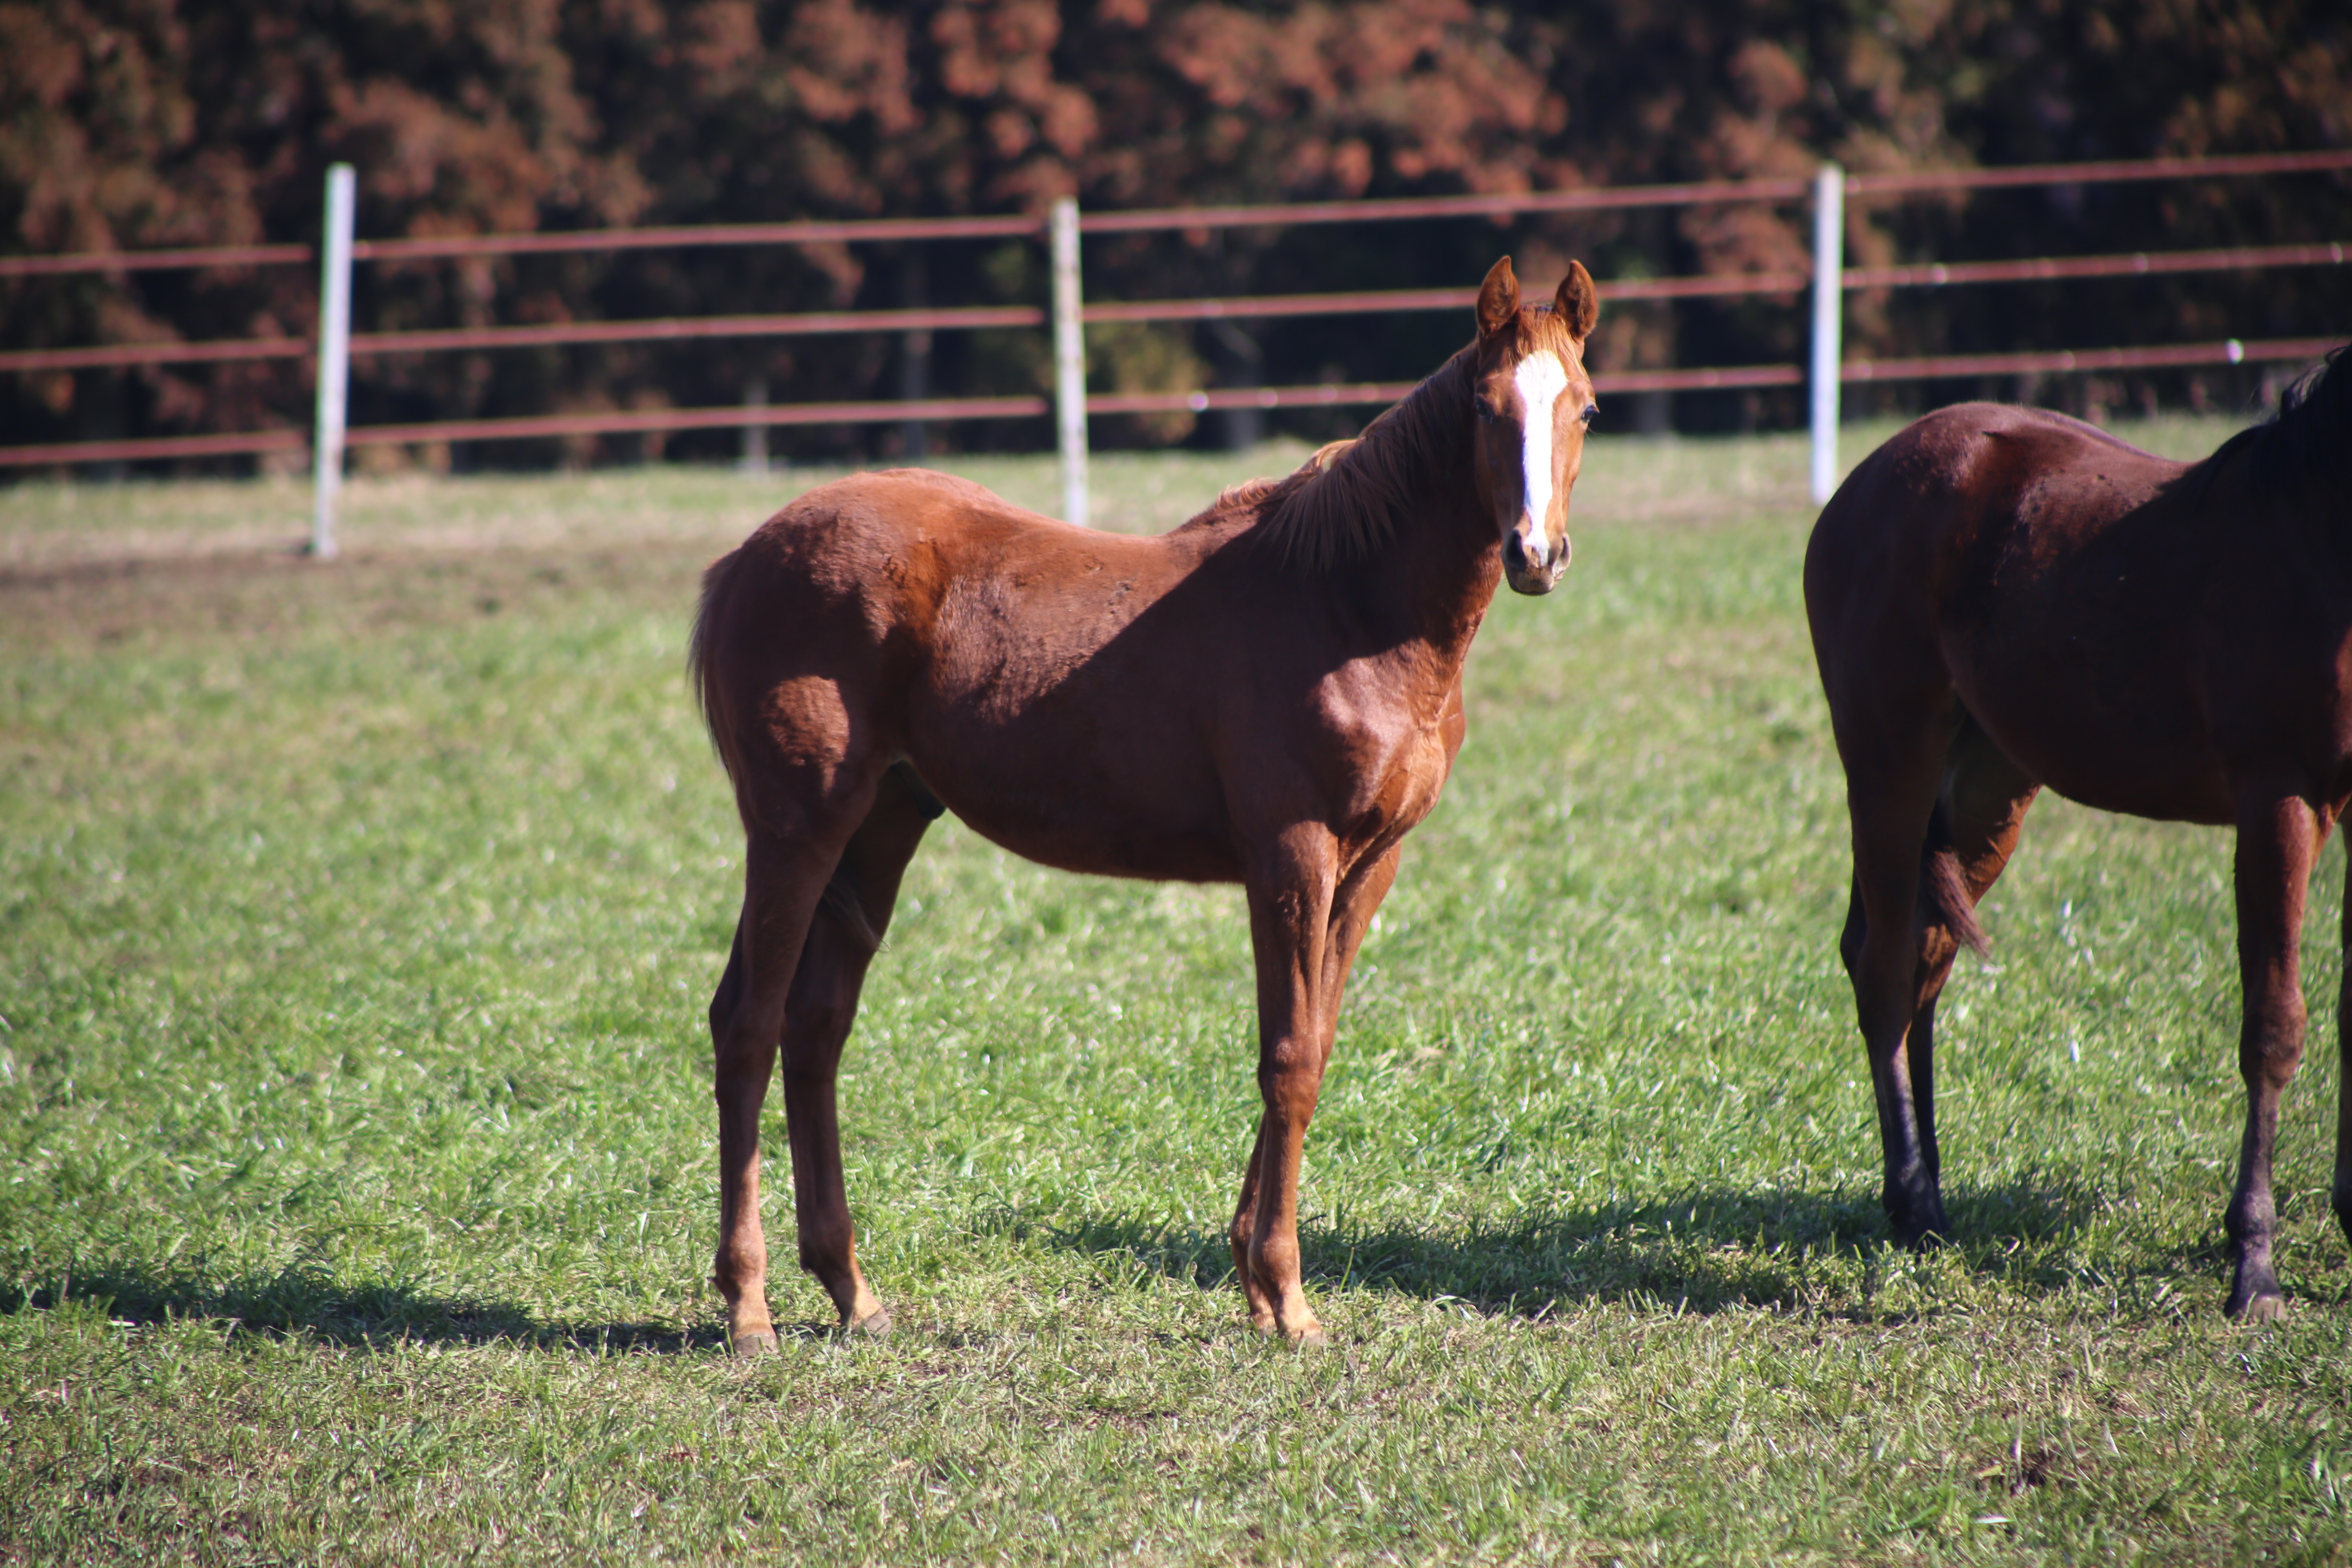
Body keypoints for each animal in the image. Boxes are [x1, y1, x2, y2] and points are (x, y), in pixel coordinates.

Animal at [682, 257, 1599, 1354]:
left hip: (882, 826)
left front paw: (1253, 1274)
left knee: (816, 1027)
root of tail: (745, 558)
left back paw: (851, 1290)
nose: (1535, 554)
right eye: (1483, 405)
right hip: (796, 827)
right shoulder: (1289, 851)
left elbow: (1316, 1042)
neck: (1348, 606)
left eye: (1586, 408)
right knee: (748, 1023)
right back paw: (747, 1308)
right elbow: (1288, 1057)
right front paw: (1286, 1297)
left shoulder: (1370, 864)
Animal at [1806, 350, 2352, 1316]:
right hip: (1888, 756)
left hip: (1987, 783)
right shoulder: (2280, 797)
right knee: (1884, 965)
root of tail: (1859, 487)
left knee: (1925, 953)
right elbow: (2275, 1024)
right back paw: (1913, 1204)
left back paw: (1931, 1189)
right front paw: (2254, 1265)